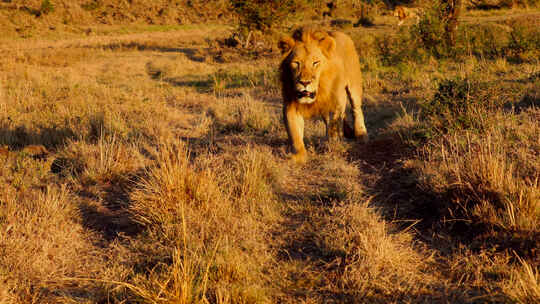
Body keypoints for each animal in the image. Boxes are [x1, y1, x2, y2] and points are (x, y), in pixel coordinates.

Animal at [276, 26, 370, 164]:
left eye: (315, 62)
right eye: (296, 63)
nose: (305, 82)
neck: (320, 88)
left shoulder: (337, 102)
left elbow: (334, 126)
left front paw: (332, 145)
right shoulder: (290, 105)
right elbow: (295, 133)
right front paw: (298, 156)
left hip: (354, 84)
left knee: (356, 108)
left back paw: (361, 134)